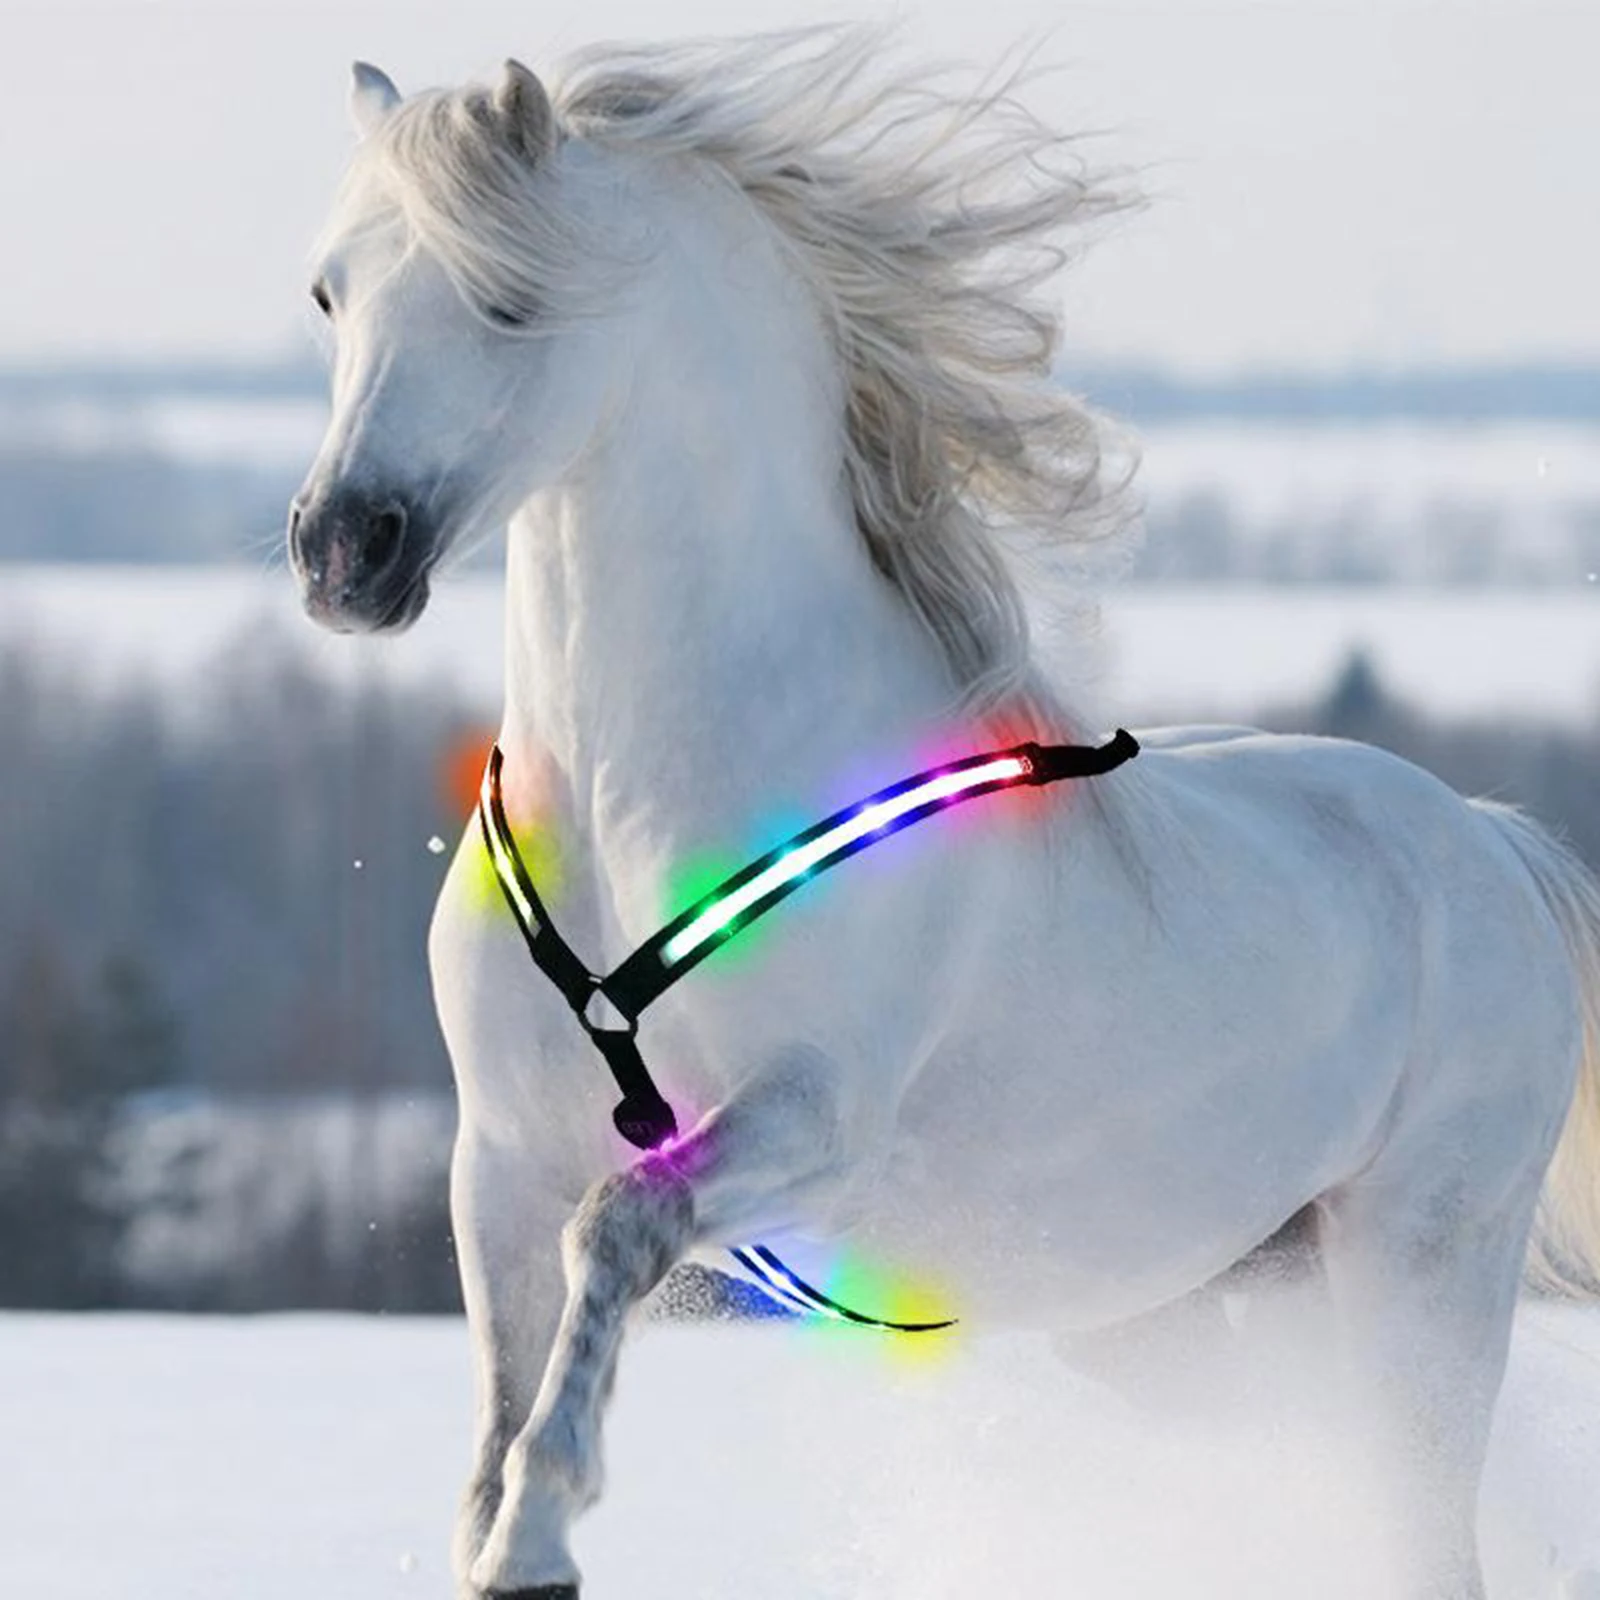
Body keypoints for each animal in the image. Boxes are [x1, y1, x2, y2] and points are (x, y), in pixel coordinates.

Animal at [287, 32, 1600, 1599]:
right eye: (329, 292)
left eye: (509, 296)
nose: (342, 554)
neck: (624, 808)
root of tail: (1493, 843)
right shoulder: (497, 1159)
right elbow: (498, 1388)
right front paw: (501, 1542)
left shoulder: (812, 1115)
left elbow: (617, 1233)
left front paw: (545, 1525)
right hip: (1188, 1309)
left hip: (1418, 1267)